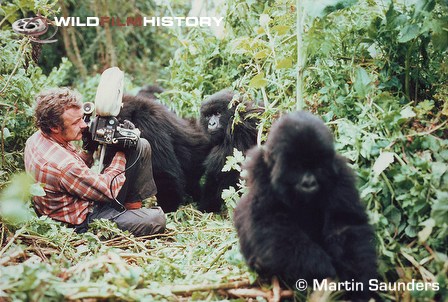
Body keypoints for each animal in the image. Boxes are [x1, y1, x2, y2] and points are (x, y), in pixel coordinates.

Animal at [234, 111, 378, 302]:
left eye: (317, 166)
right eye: (297, 167)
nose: (309, 182)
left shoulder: (340, 174)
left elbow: (345, 224)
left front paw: (360, 282)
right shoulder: (260, 171)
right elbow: (270, 221)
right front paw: (320, 265)